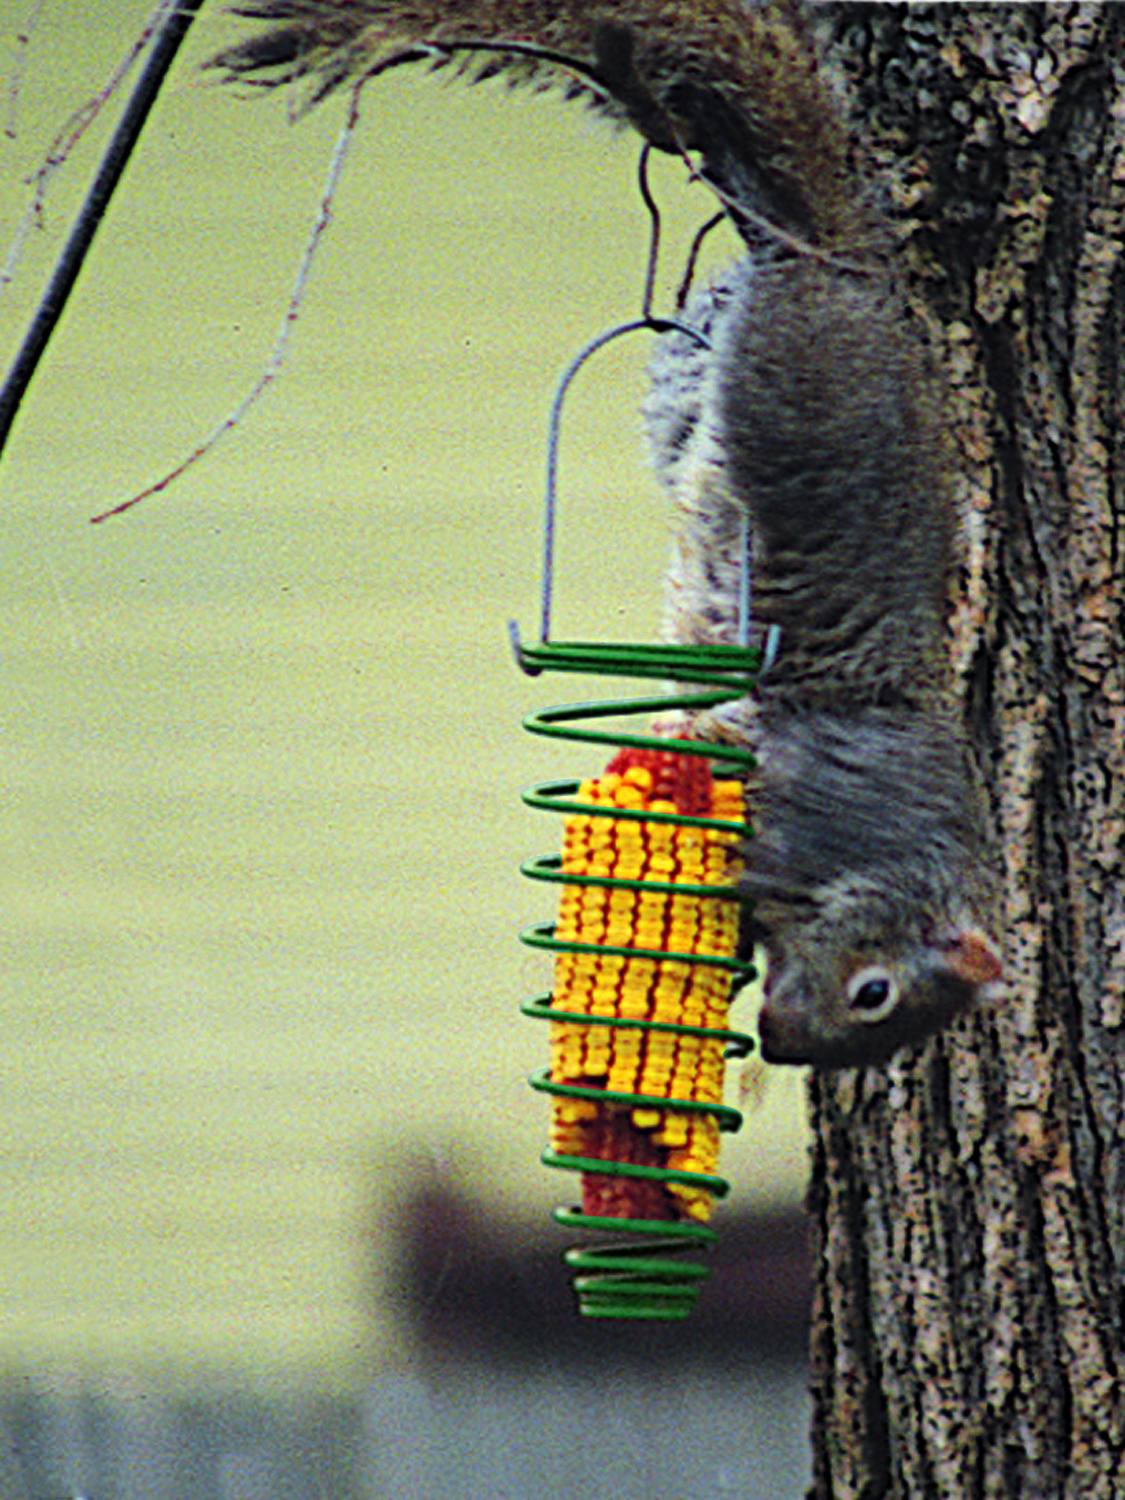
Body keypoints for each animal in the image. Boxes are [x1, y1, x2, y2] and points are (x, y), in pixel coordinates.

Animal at [211, 0, 1004, 1067]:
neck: (884, 867)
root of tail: (855, 277)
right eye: (874, 992)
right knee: (773, 253)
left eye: (873, 1029)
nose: (781, 1044)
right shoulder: (811, 817)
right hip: (777, 383)